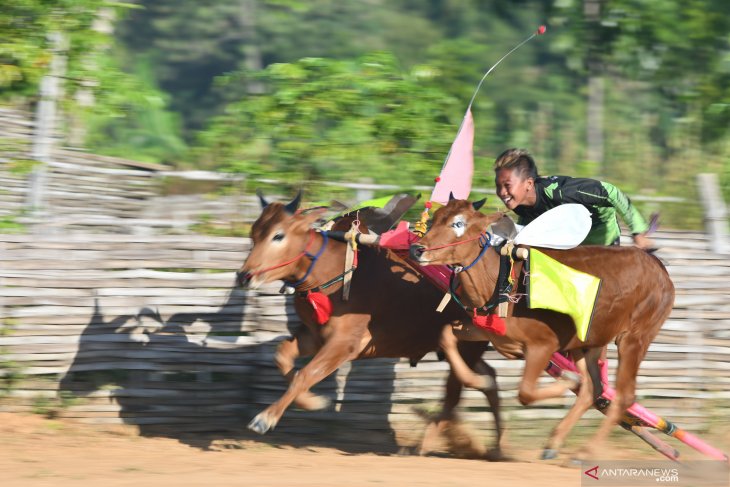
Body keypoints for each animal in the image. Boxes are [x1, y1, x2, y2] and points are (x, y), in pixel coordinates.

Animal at [236, 192, 504, 458]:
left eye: (278, 235)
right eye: (254, 234)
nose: (244, 276)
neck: (334, 273)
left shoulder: (344, 344)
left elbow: (306, 373)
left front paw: (265, 418)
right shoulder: (314, 336)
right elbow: (283, 358)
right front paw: (312, 401)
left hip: (467, 347)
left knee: (454, 394)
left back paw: (425, 445)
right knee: (488, 379)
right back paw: (496, 447)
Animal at [406, 199, 672, 462]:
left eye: (458, 223)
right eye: (436, 218)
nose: (417, 249)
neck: (501, 283)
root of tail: (659, 269)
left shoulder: (543, 346)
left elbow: (525, 392)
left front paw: (568, 378)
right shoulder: (488, 331)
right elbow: (446, 337)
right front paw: (480, 380)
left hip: (634, 339)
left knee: (623, 396)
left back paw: (585, 451)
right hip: (589, 342)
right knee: (592, 389)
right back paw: (554, 442)